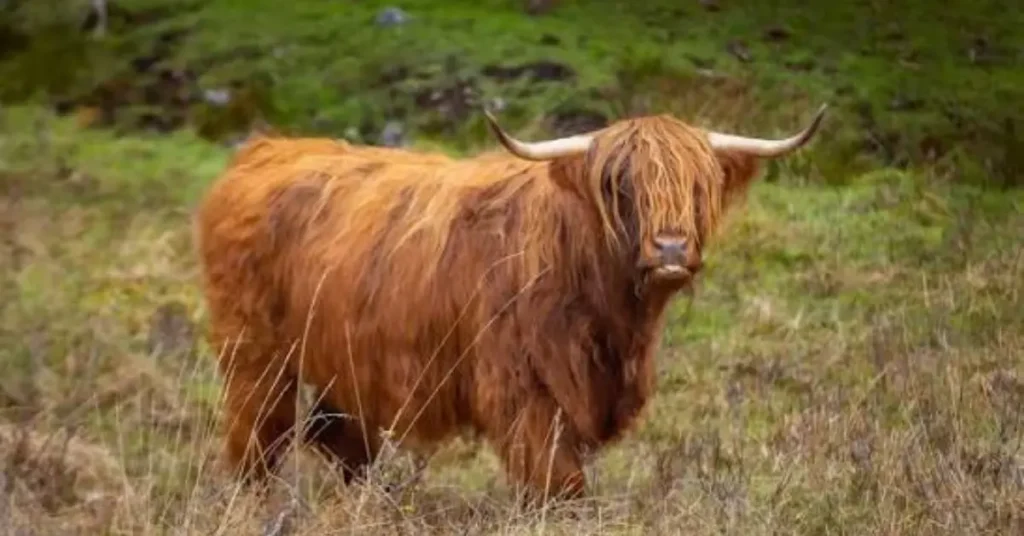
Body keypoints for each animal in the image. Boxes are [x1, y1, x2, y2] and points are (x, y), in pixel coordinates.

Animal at [193, 104, 827, 504]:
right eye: (620, 185)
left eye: (698, 186)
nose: (670, 248)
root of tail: (265, 149)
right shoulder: (524, 389)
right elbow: (556, 481)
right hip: (256, 356)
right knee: (258, 437)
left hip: (338, 360)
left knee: (337, 437)